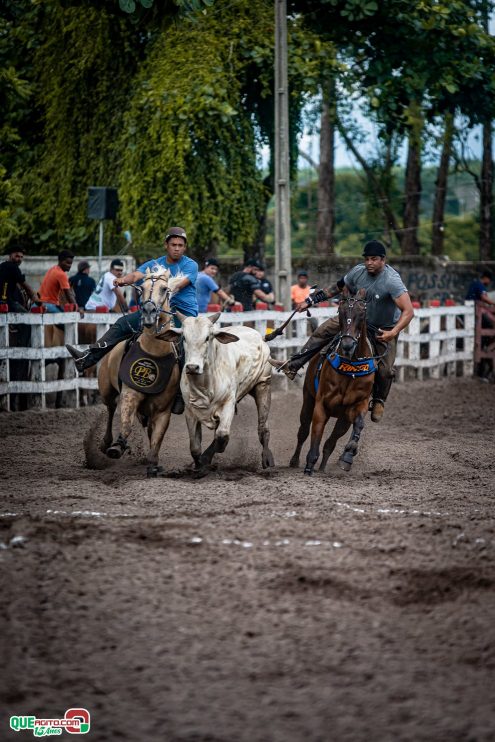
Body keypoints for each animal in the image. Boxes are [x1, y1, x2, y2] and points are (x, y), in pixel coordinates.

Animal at [97, 268, 182, 476]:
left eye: (164, 288)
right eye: (141, 288)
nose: (149, 312)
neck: (154, 351)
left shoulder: (163, 409)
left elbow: (157, 438)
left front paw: (153, 464)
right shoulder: (130, 394)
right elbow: (126, 424)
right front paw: (117, 446)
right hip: (107, 390)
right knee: (111, 409)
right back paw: (106, 442)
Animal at [164, 312, 276, 476]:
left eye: (207, 337)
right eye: (184, 337)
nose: (192, 367)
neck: (205, 387)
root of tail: (260, 337)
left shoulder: (228, 403)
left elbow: (222, 436)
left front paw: (205, 460)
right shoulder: (190, 411)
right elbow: (195, 447)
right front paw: (199, 466)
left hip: (263, 384)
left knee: (263, 426)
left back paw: (267, 458)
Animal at [290, 290, 376, 476]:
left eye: (362, 314)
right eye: (341, 313)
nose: (348, 345)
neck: (350, 369)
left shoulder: (358, 404)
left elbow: (359, 424)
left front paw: (348, 455)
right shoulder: (321, 404)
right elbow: (316, 434)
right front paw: (309, 466)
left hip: (342, 419)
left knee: (331, 442)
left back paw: (324, 468)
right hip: (308, 399)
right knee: (303, 431)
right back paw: (294, 461)